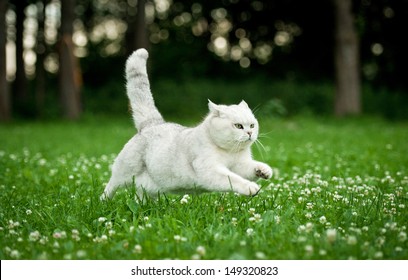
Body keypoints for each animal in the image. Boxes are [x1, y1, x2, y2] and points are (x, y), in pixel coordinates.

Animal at [100, 49, 272, 200]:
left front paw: (263, 170)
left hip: (149, 188)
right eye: (238, 126)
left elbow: (251, 168)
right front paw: (250, 188)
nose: (250, 133)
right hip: (123, 174)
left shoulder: (240, 166)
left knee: (141, 197)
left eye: (252, 125)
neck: (229, 152)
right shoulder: (211, 170)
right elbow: (233, 179)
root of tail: (152, 123)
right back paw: (104, 202)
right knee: (110, 187)